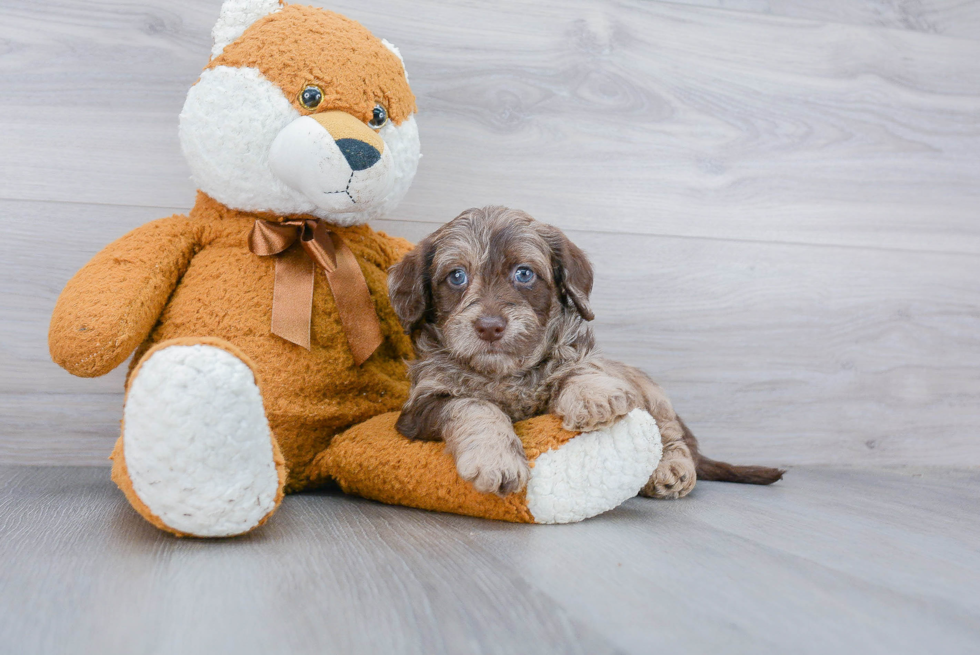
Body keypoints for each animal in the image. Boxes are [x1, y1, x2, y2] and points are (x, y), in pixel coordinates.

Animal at [386, 205, 784, 498]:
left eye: (524, 274)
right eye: (456, 276)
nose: (489, 326)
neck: (506, 372)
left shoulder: (579, 357)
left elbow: (578, 369)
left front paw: (592, 396)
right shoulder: (422, 404)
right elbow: (473, 405)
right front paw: (496, 457)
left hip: (652, 393)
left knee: (671, 434)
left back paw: (672, 467)